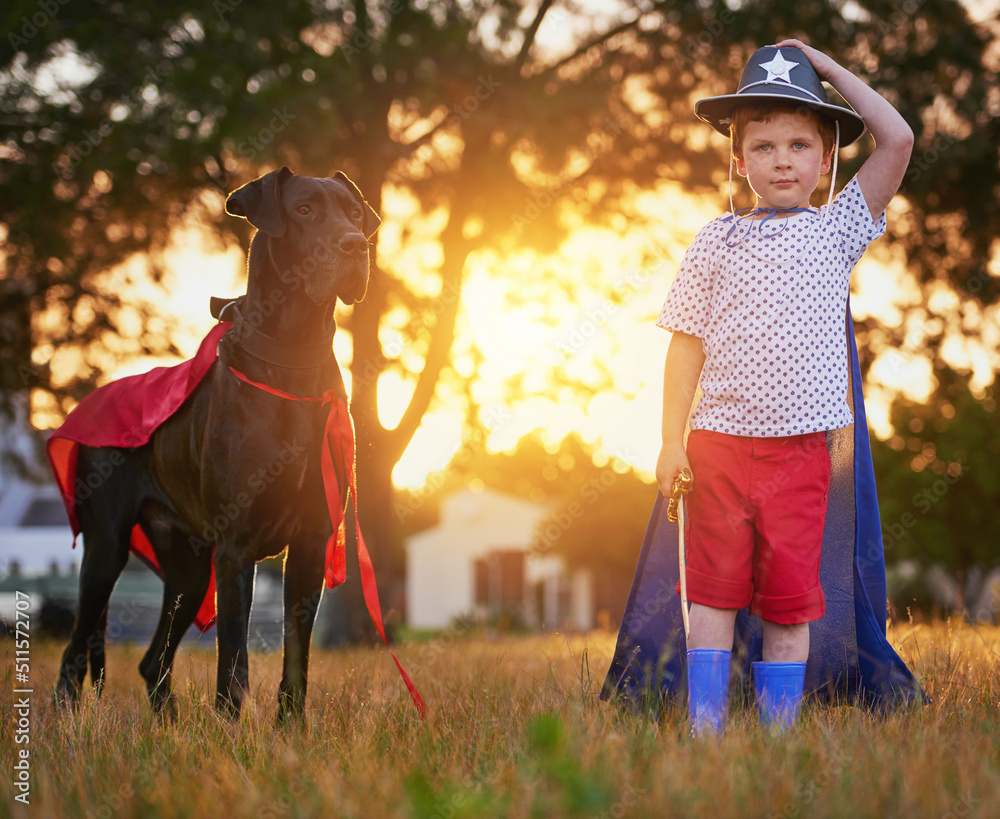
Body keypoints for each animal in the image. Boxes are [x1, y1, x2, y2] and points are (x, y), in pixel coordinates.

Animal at [56, 167, 380, 716]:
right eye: (305, 210)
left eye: (355, 213)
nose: (356, 244)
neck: (294, 356)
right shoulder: (235, 546)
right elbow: (233, 659)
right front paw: (233, 731)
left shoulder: (310, 542)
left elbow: (297, 659)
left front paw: (290, 730)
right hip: (106, 549)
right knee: (74, 652)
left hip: (187, 568)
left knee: (153, 661)